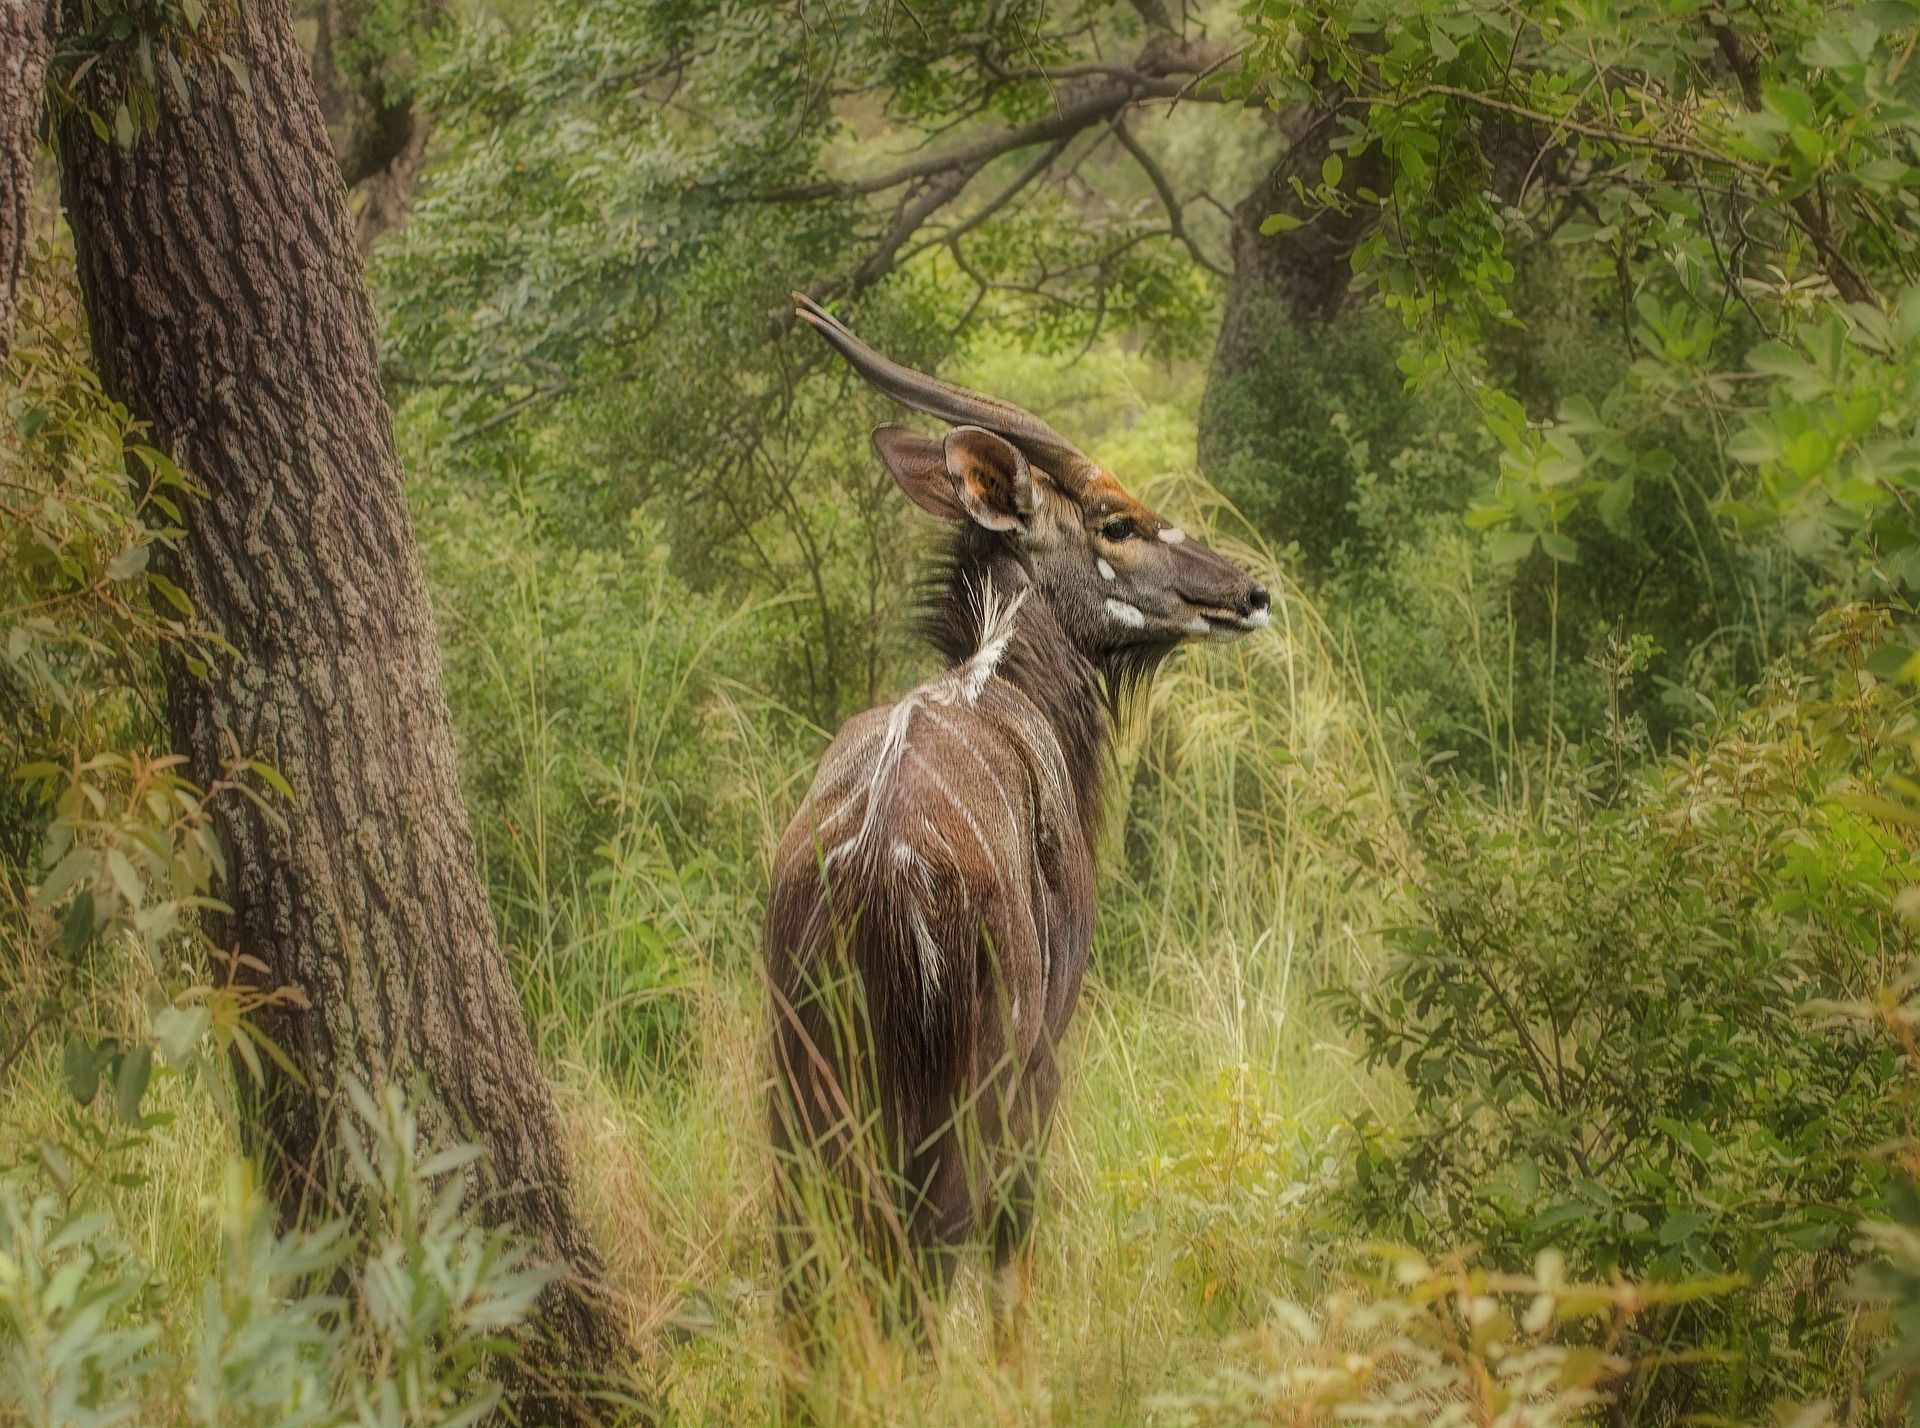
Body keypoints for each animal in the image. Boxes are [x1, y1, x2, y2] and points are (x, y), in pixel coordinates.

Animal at [764, 293, 1274, 1351]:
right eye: (1118, 521)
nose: (1252, 590)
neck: (1003, 680)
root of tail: (877, 878)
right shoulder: (1042, 1059)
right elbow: (1012, 1268)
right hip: (967, 1093)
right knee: (926, 1272)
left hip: (801, 1100)